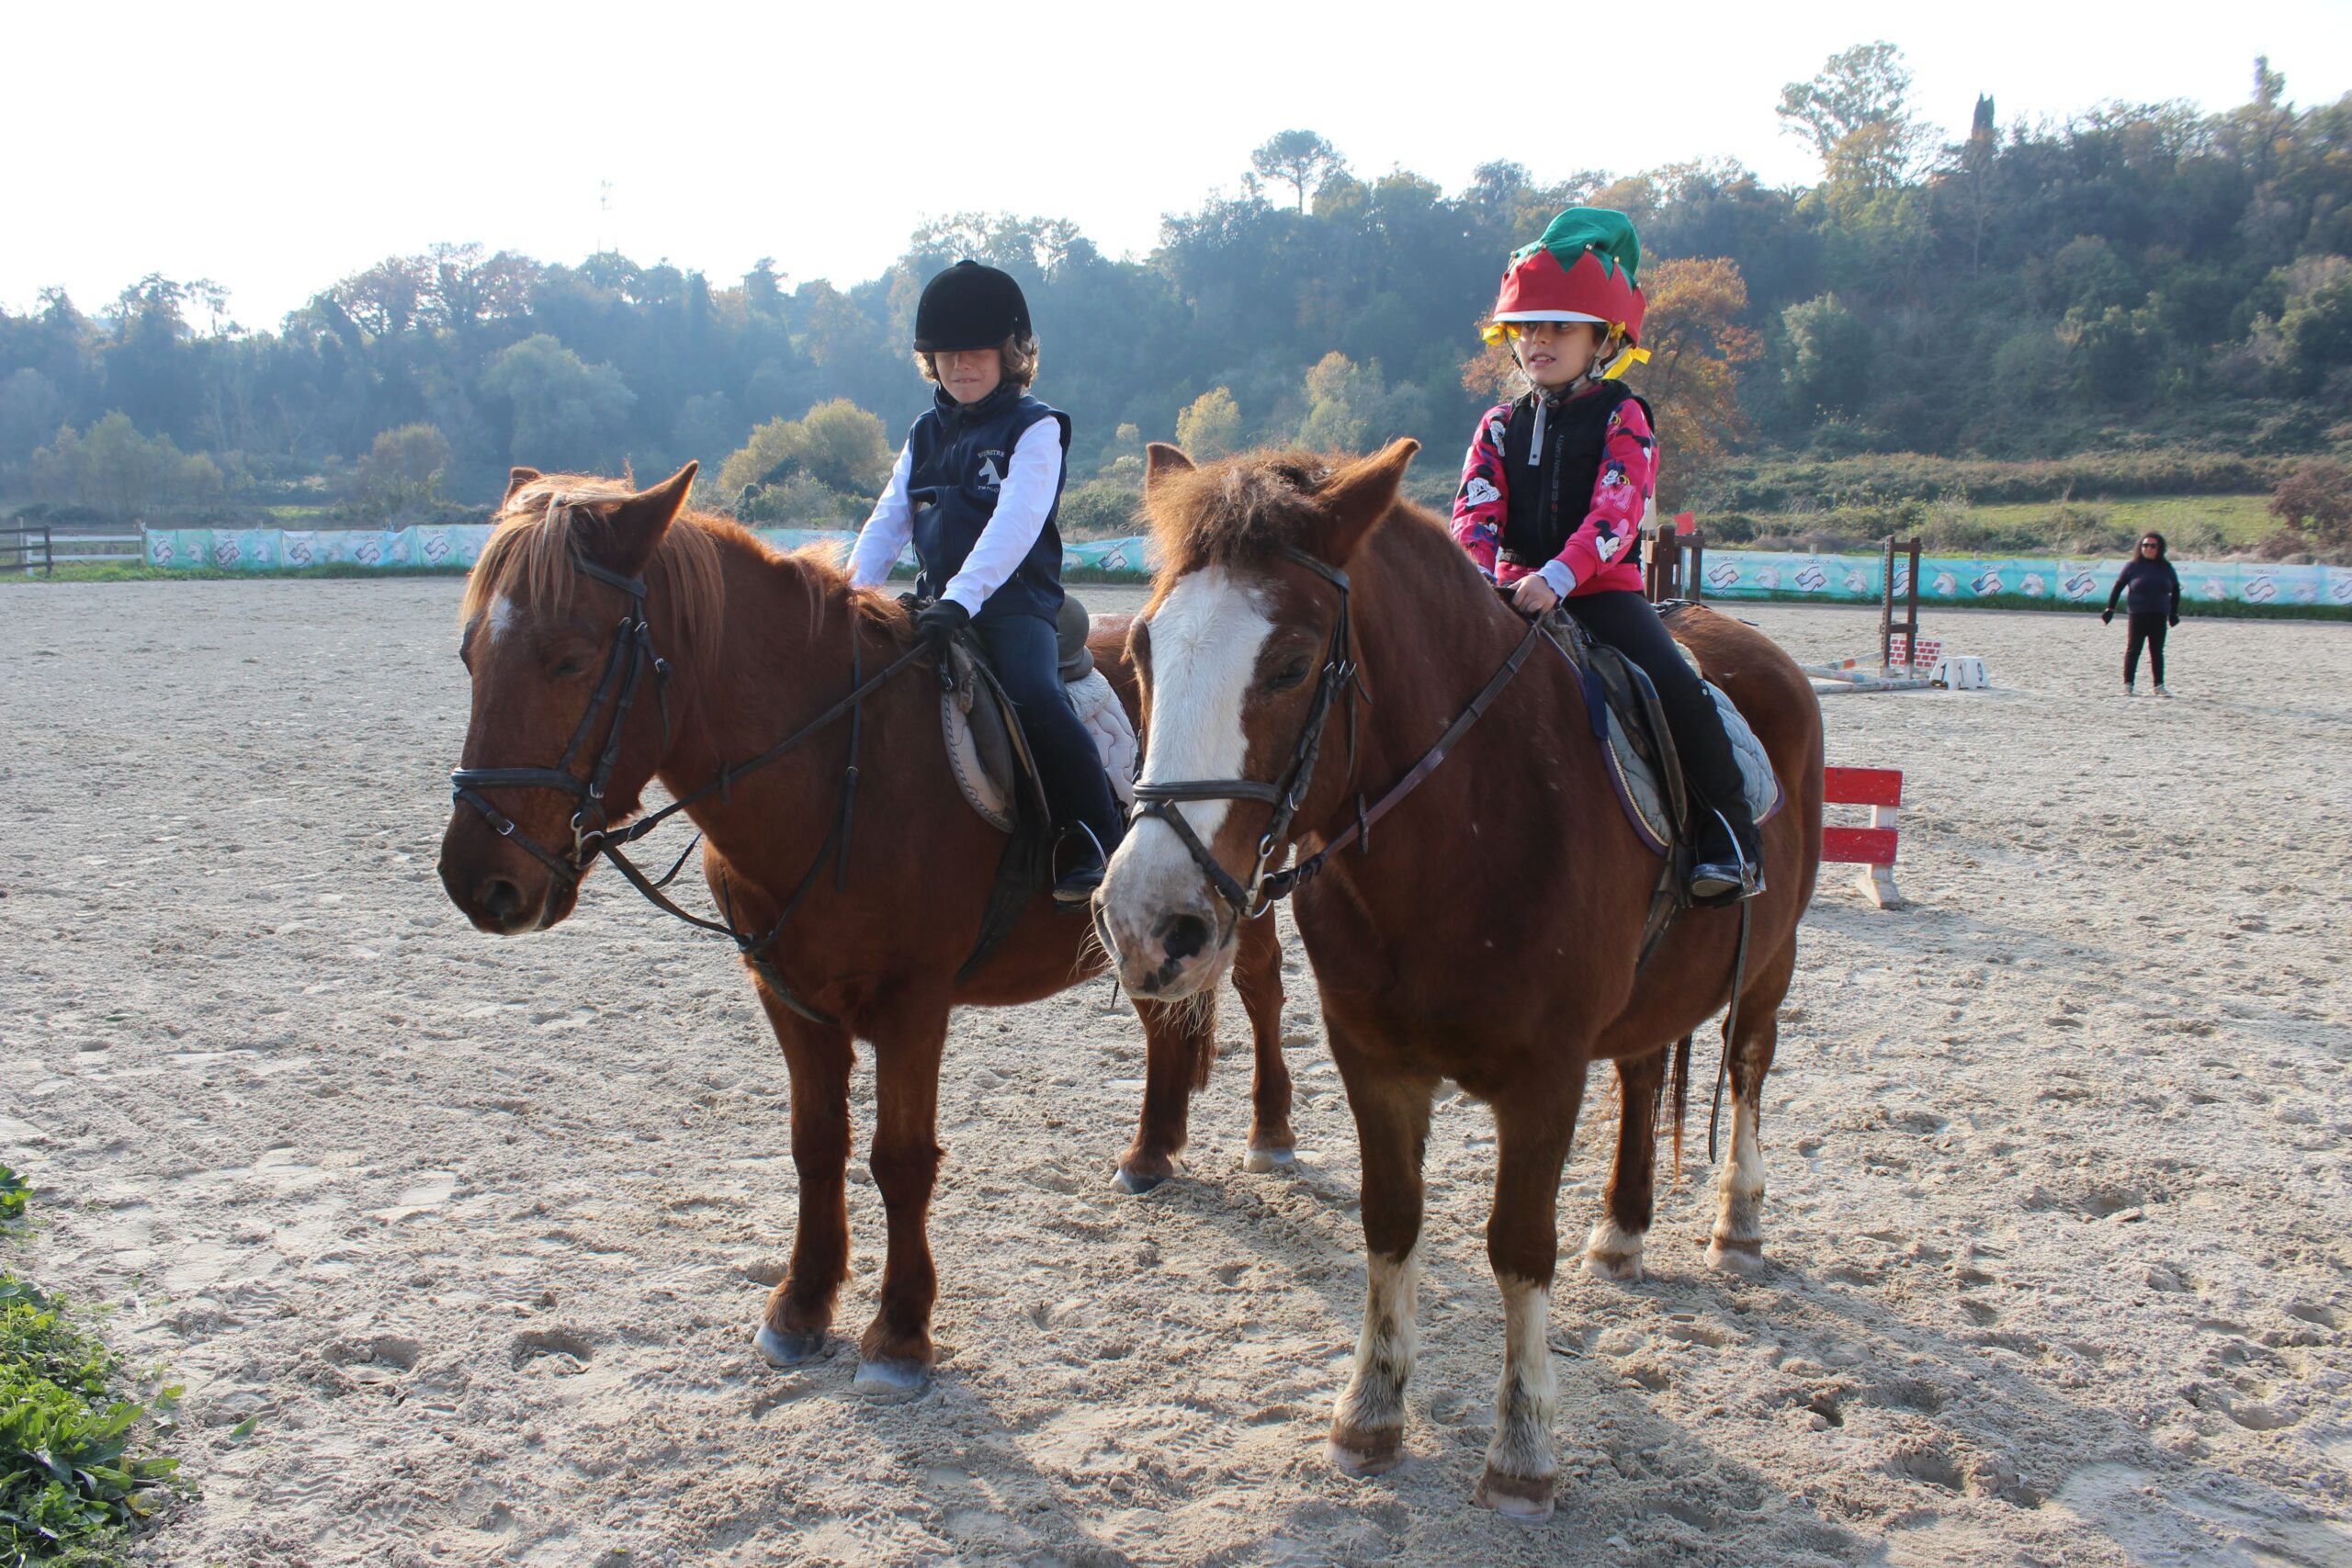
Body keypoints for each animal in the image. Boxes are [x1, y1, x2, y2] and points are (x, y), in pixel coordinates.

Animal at [435, 461, 1295, 1395]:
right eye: (470, 655)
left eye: (569, 658)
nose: (477, 881)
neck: (838, 764)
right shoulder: (788, 997)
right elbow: (817, 1145)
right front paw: (801, 1307)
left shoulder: (913, 1006)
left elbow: (900, 1158)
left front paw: (901, 1332)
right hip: (1139, 927)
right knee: (1163, 1021)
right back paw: (1151, 1150)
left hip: (1229, 896)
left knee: (1263, 990)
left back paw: (1271, 1132)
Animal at [1095, 440, 1824, 1517]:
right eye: (1143, 652)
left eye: (1290, 663)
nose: (1150, 920)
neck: (1469, 831)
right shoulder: (1372, 1059)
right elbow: (1390, 1223)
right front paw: (1369, 1411)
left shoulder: (1544, 1077)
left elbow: (1518, 1247)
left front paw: (1522, 1452)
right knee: (1646, 1074)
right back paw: (1623, 1230)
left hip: (1771, 962)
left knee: (1746, 1069)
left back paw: (1736, 1221)